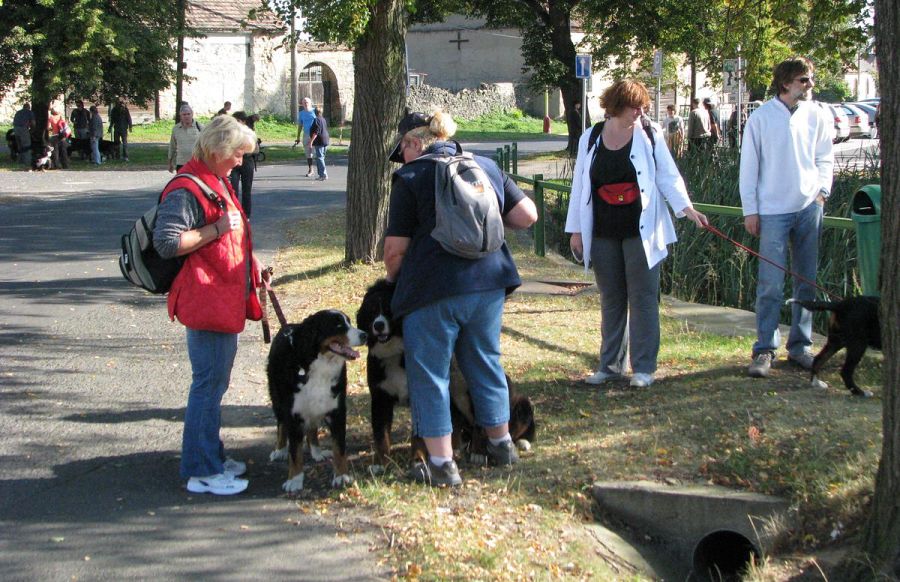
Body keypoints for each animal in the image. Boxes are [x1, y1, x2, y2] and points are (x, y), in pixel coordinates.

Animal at [268, 310, 366, 492]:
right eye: (338, 325)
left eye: (349, 322)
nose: (365, 335)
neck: (321, 367)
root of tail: (287, 326)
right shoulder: (293, 413)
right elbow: (295, 452)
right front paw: (295, 479)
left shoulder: (337, 411)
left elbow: (339, 448)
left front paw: (341, 476)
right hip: (277, 398)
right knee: (281, 424)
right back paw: (280, 449)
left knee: (312, 428)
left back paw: (317, 452)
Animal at [354, 280, 536, 472]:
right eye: (372, 312)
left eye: (389, 310)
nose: (378, 325)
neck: (394, 354)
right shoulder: (380, 400)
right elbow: (382, 437)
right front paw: (382, 464)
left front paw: (418, 460)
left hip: (521, 403)